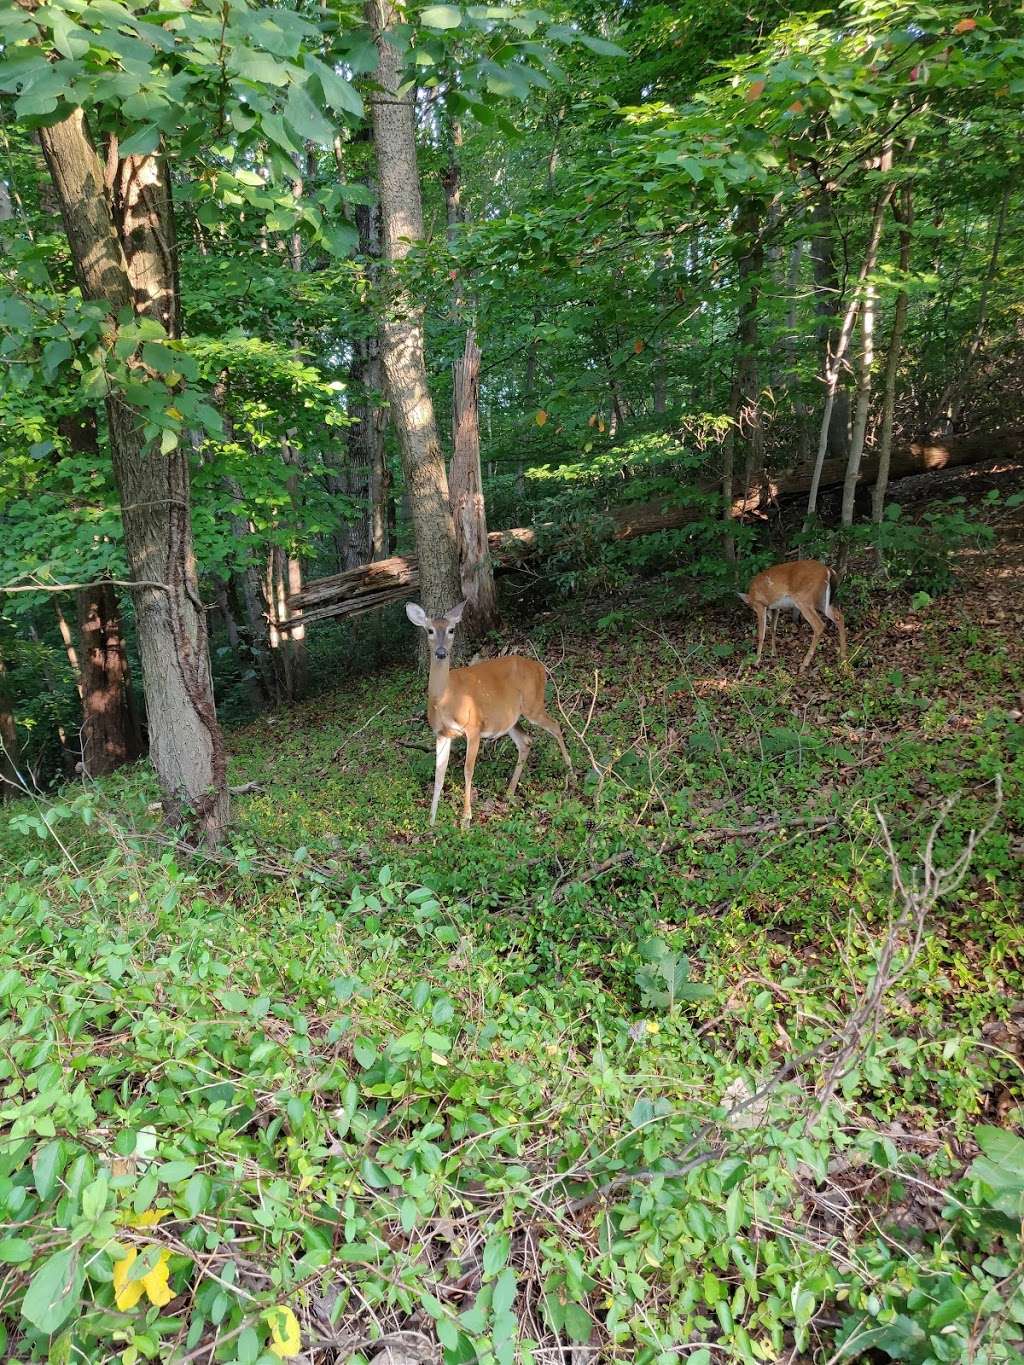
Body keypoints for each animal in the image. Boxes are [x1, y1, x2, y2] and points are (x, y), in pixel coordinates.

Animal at [404, 600, 573, 829]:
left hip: (533, 704)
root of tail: (540, 667)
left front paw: (466, 818)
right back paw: (510, 792)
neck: (445, 699)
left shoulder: (474, 727)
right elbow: (439, 773)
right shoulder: (442, 734)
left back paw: (570, 775)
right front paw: (431, 820)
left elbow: (468, 770)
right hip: (511, 718)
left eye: (451, 630)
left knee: (555, 726)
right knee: (526, 741)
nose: (440, 652)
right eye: (429, 630)